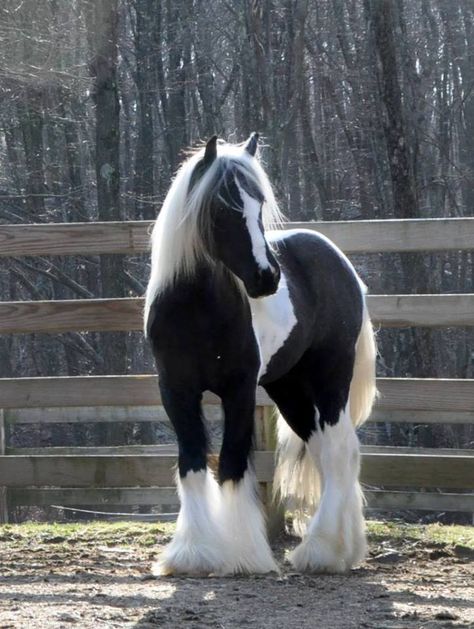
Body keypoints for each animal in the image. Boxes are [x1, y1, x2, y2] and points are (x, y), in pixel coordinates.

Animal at [144, 135, 378, 576]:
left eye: (260, 204)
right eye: (222, 209)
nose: (267, 277)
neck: (197, 310)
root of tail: (338, 259)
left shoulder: (238, 391)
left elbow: (232, 463)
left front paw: (242, 557)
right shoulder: (176, 391)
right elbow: (193, 462)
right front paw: (192, 555)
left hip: (330, 376)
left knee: (339, 451)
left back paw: (322, 551)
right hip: (290, 388)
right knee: (324, 449)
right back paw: (344, 548)